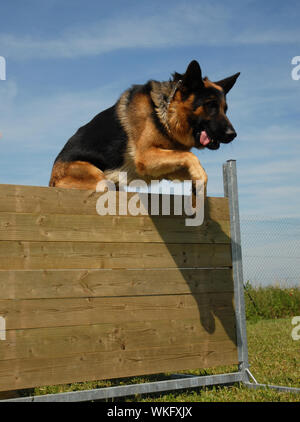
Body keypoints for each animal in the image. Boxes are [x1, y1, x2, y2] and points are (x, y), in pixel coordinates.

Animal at [48, 59, 239, 195]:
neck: (165, 113)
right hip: (100, 180)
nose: (232, 135)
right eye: (210, 105)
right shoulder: (146, 157)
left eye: (225, 109)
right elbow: (190, 156)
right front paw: (199, 178)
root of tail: (51, 181)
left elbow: (192, 163)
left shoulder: (165, 168)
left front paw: (198, 182)